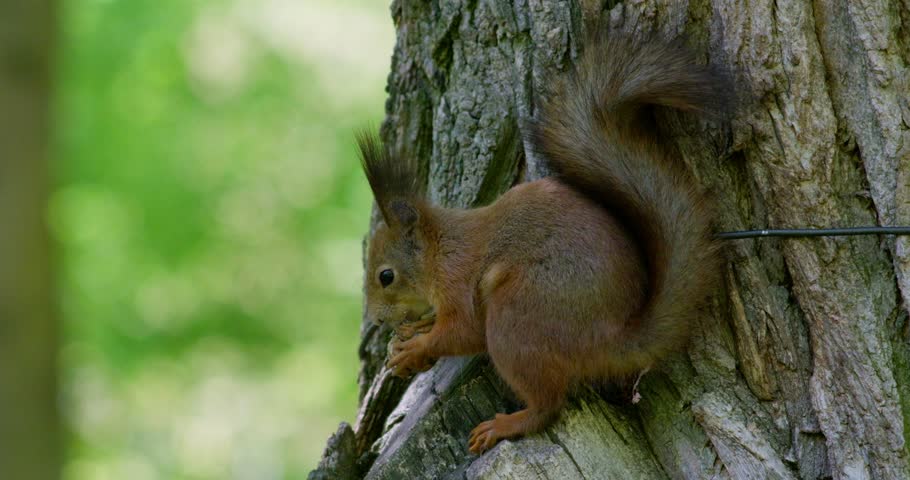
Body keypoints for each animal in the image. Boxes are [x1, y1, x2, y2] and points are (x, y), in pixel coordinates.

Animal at [357, 30, 729, 455]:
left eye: (386, 276)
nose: (377, 320)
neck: (438, 248)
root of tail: (610, 337)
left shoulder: (458, 278)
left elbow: (463, 331)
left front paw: (417, 348)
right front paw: (414, 333)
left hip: (516, 319)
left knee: (548, 405)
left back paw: (506, 424)